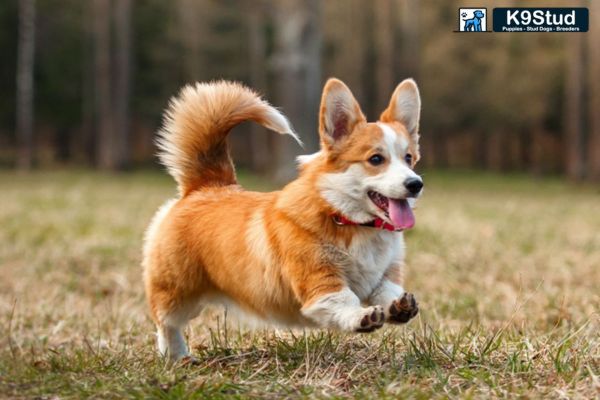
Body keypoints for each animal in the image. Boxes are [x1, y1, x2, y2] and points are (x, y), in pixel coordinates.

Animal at [142, 77, 422, 362]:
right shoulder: (320, 281)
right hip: (177, 292)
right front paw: (361, 316)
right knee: (165, 321)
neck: (349, 219)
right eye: (376, 159)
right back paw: (176, 355)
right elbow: (343, 300)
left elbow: (387, 291)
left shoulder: (385, 274)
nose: (415, 184)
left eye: (409, 158)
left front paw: (399, 306)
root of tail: (205, 186)